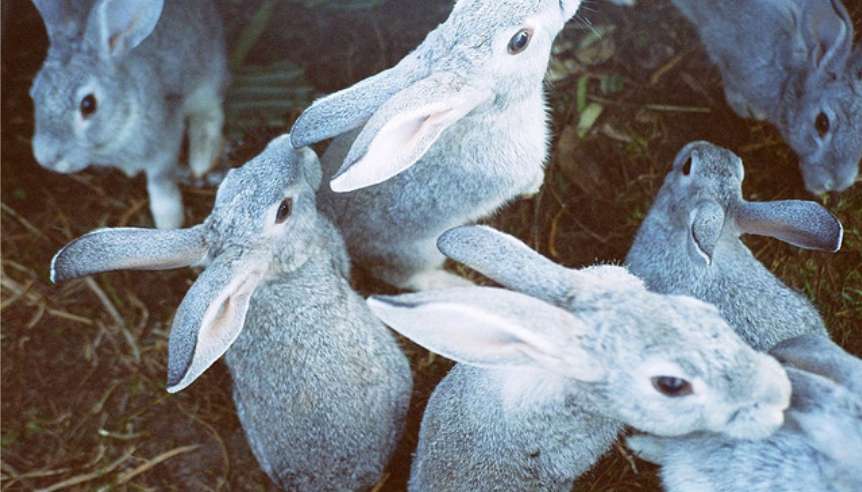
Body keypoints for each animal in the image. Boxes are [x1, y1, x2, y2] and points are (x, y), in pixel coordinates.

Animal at [30, 0, 228, 229]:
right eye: (34, 93)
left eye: (88, 105)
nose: (46, 158)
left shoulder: (164, 142)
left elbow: (161, 182)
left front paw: (169, 223)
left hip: (207, 79)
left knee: (211, 113)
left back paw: (201, 159)